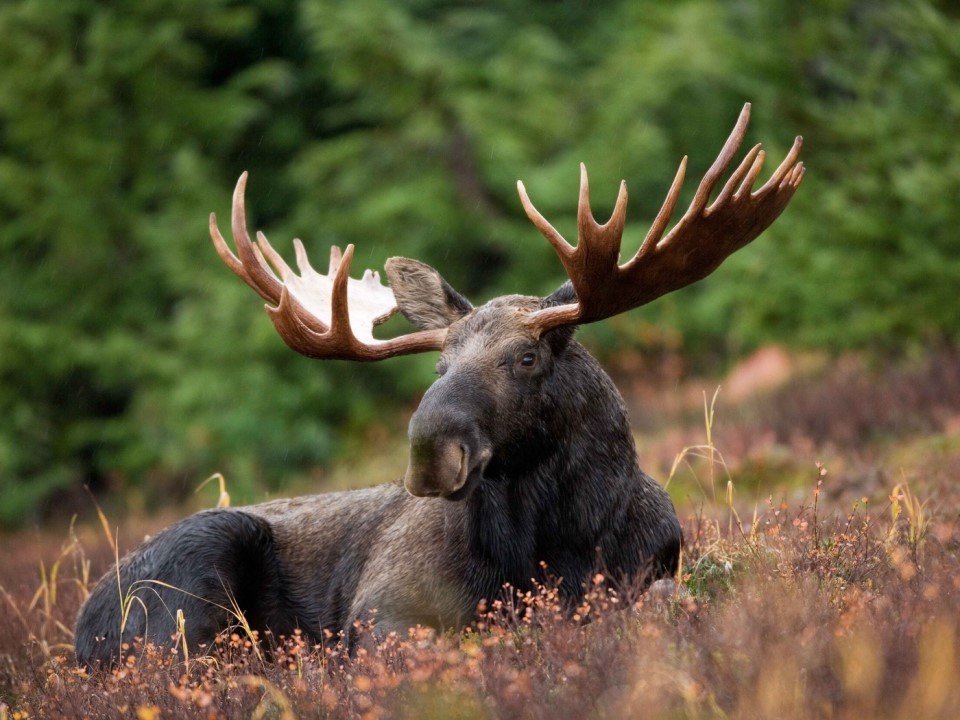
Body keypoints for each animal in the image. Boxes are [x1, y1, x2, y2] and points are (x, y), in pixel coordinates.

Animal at [73, 104, 804, 668]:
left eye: (526, 358)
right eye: (439, 367)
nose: (430, 450)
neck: (556, 543)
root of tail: (81, 629)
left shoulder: (653, 571)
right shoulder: (381, 612)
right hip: (192, 582)